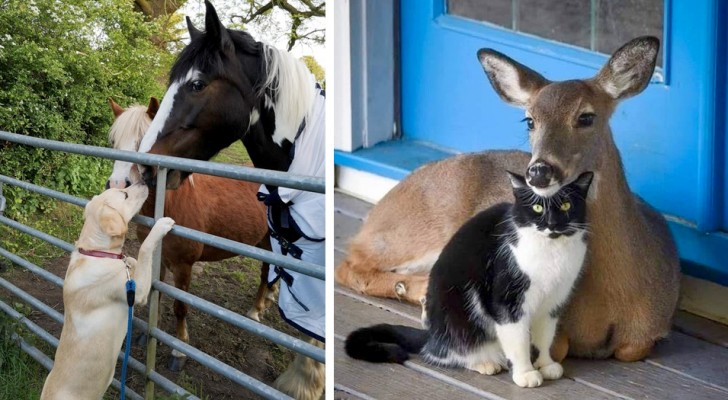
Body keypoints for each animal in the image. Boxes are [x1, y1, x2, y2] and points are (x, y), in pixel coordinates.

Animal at [40, 185, 174, 400]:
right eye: (125, 194)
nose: (145, 182)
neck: (97, 251)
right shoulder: (137, 291)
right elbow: (144, 249)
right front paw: (161, 225)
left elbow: (132, 260)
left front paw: (130, 261)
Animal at [336, 37, 684, 362]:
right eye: (529, 120)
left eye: (586, 117)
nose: (539, 170)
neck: (613, 296)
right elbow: (555, 346)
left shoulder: (651, 327)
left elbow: (630, 349)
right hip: (417, 228)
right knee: (350, 263)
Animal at [346, 171, 592, 388]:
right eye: (537, 207)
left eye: (566, 205)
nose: (552, 224)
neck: (552, 252)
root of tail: (432, 335)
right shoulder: (507, 301)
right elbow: (519, 340)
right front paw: (525, 373)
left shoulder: (554, 301)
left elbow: (545, 336)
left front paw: (546, 365)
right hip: (457, 317)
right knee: (443, 353)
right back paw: (484, 362)